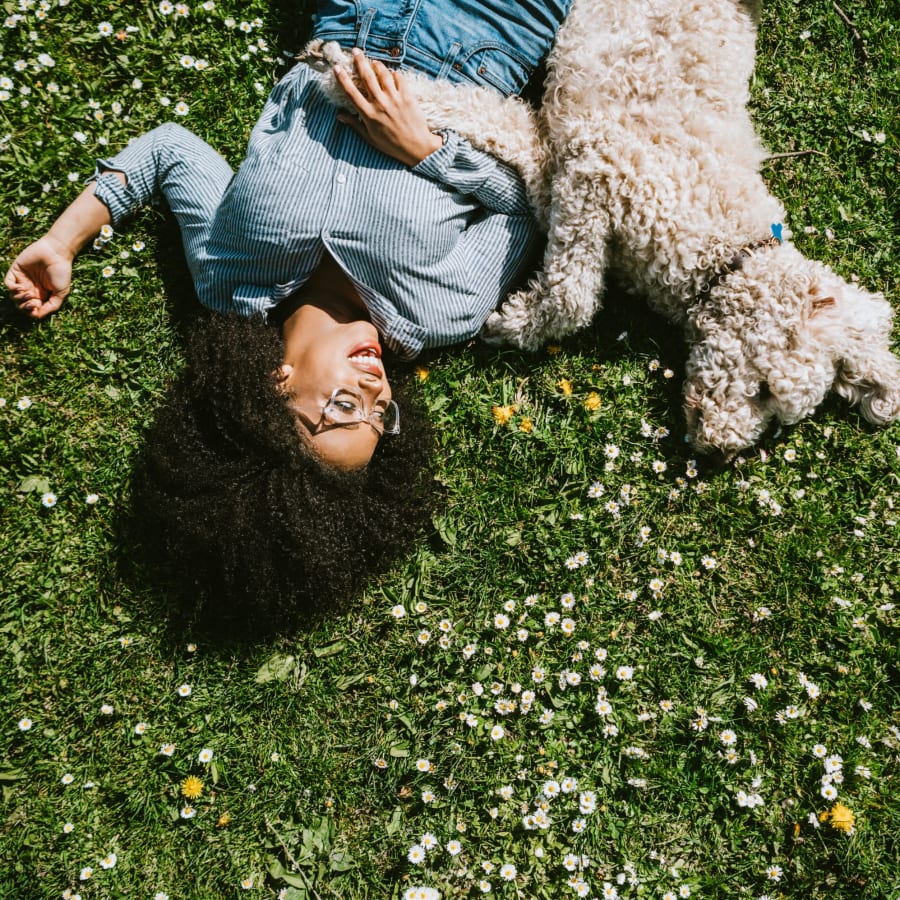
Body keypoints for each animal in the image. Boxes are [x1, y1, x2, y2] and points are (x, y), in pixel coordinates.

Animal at [486, 0, 900, 458]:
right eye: (765, 390)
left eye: (776, 415)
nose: (720, 454)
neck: (723, 245)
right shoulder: (599, 168)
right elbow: (572, 296)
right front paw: (515, 323)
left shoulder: (570, 172)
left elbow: (513, 135)